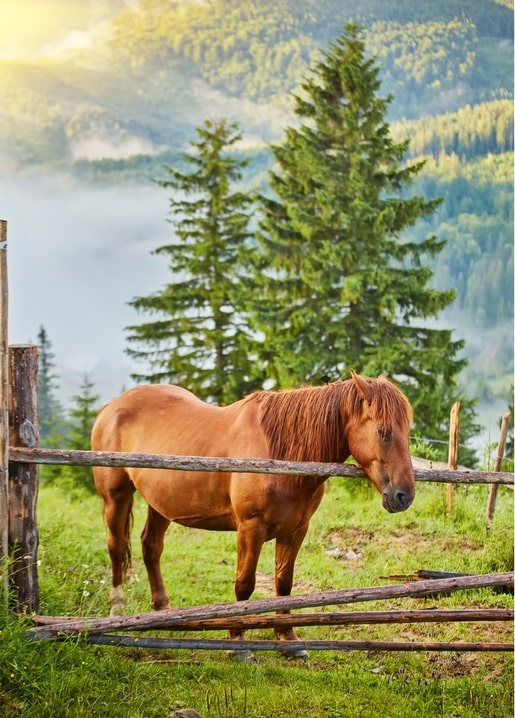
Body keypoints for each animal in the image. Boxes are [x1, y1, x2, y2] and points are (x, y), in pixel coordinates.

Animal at [91, 370, 415, 658]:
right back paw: (116, 611)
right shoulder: (250, 528)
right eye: (382, 431)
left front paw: (288, 640)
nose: (405, 496)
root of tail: (112, 406)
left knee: (151, 546)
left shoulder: (296, 530)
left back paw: (164, 611)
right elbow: (244, 585)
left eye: (407, 431)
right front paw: (238, 645)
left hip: (161, 504)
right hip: (115, 497)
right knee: (116, 548)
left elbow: (284, 583)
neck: (281, 457)